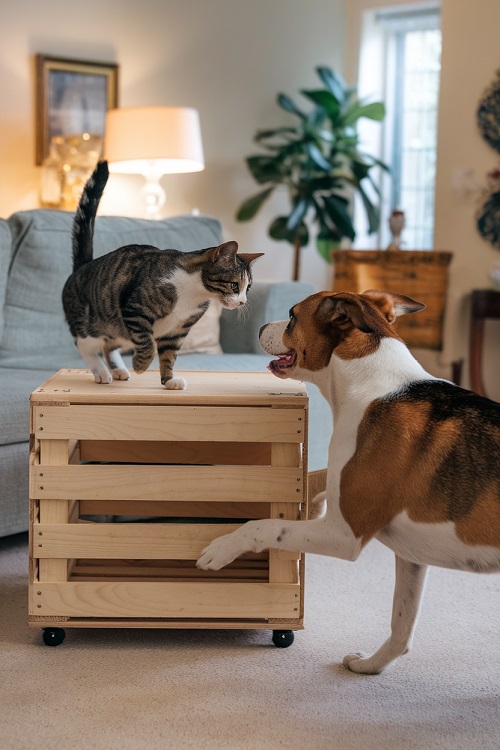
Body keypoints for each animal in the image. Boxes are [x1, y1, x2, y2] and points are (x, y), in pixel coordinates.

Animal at [63, 162, 262, 390]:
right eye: (235, 286)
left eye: (248, 288)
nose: (242, 302)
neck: (193, 294)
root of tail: (83, 267)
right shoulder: (135, 310)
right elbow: (147, 342)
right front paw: (140, 364)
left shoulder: (177, 330)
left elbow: (168, 355)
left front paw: (168, 380)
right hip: (96, 324)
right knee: (84, 344)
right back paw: (102, 372)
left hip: (119, 331)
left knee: (108, 346)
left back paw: (118, 370)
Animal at [196, 290, 500, 676]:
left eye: (292, 315)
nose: (261, 326)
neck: (372, 383)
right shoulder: (410, 556)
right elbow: (401, 625)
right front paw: (372, 666)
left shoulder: (344, 534)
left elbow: (264, 526)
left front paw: (221, 548)